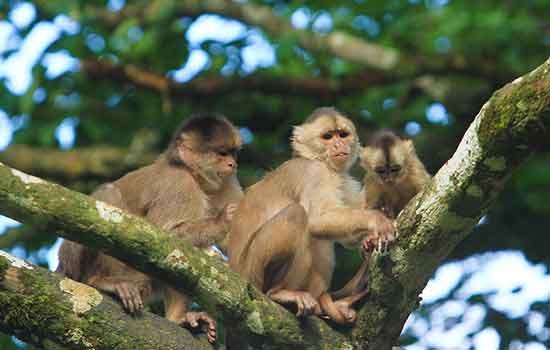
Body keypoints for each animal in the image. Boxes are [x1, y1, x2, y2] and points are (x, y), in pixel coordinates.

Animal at [57, 113, 244, 344]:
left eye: (233, 153)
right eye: (222, 153)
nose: (232, 164)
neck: (192, 173)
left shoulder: (226, 182)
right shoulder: (178, 183)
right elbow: (163, 238)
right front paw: (224, 220)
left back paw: (178, 318)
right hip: (74, 265)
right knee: (108, 195)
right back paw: (99, 282)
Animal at [229, 106, 396, 326]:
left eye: (343, 134)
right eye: (328, 136)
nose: (339, 144)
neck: (316, 159)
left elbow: (346, 237)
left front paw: (368, 241)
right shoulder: (315, 173)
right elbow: (317, 219)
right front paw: (377, 220)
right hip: (253, 273)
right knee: (299, 216)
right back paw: (279, 293)